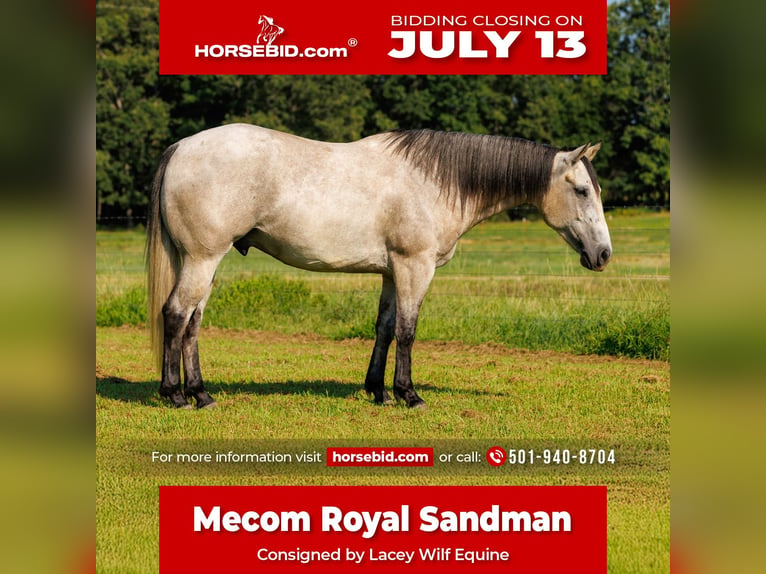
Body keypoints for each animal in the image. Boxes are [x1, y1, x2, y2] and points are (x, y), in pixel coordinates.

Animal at [146, 125, 612, 409]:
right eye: (583, 191)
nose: (604, 254)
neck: (435, 181)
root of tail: (181, 147)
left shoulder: (391, 272)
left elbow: (384, 329)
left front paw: (378, 391)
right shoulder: (414, 267)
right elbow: (407, 331)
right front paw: (409, 394)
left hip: (206, 263)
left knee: (192, 323)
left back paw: (201, 393)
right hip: (202, 259)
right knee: (176, 315)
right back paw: (176, 395)